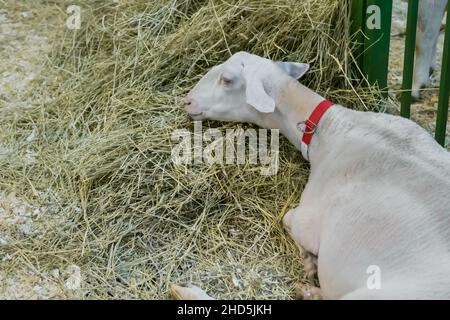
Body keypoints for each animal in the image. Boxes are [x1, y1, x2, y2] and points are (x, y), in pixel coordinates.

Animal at [171, 51, 450, 298]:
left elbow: (287, 219)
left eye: (227, 80)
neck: (330, 128)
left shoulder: (308, 219)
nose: (187, 101)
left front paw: (309, 261)